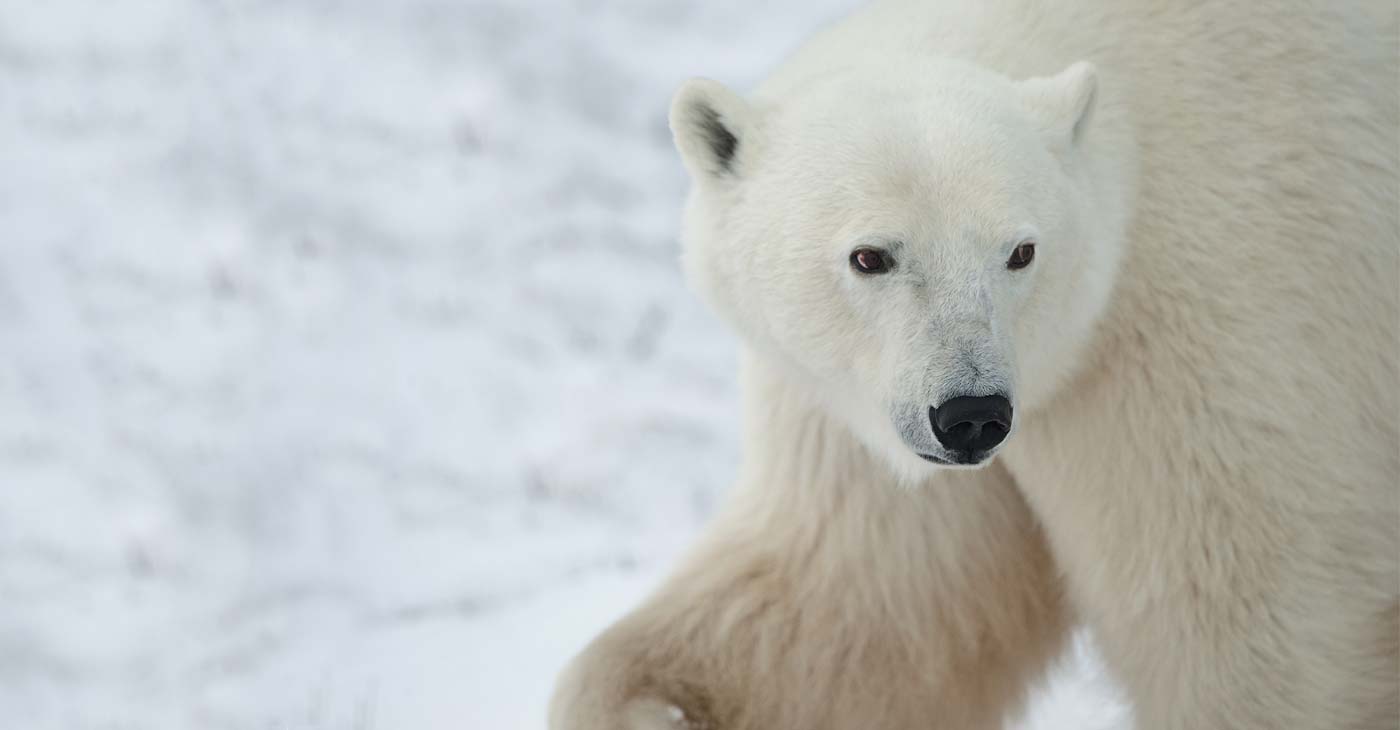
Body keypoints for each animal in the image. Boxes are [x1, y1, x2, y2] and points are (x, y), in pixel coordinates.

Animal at [551, 0, 1394, 722]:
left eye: (1020, 251)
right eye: (871, 256)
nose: (971, 416)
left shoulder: (1210, 339)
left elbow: (1253, 630)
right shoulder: (858, 410)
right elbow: (861, 602)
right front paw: (649, 703)